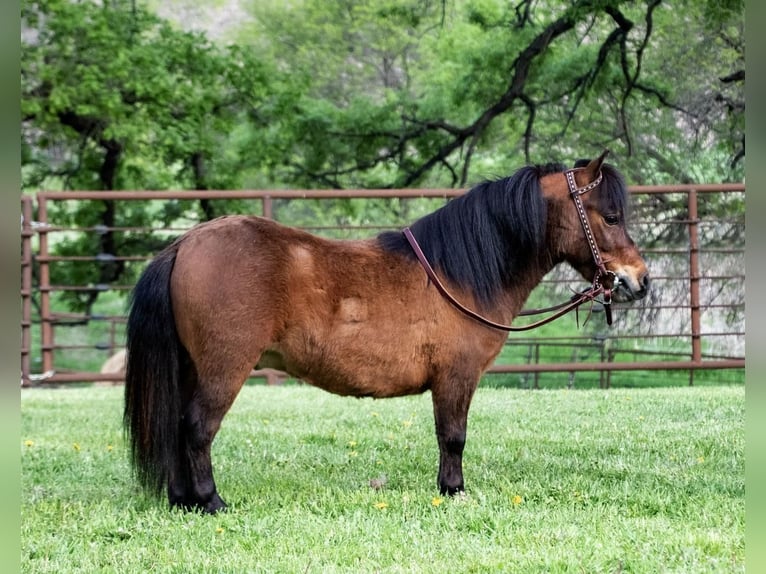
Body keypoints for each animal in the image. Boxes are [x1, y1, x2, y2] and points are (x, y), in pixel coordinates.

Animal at [124, 152, 648, 512]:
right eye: (610, 216)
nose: (639, 280)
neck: (459, 271)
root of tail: (184, 245)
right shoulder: (456, 378)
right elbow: (453, 436)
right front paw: (453, 491)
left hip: (191, 369)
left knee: (177, 426)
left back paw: (183, 501)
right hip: (224, 369)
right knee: (197, 428)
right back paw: (211, 501)